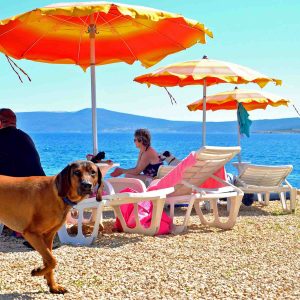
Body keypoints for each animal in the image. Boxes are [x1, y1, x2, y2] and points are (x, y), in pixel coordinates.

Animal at [0, 161, 103, 294]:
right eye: (76, 172)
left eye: (93, 172)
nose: (87, 185)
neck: (57, 194)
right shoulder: (31, 234)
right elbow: (52, 260)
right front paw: (38, 272)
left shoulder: (48, 237)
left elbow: (49, 260)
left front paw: (53, 286)